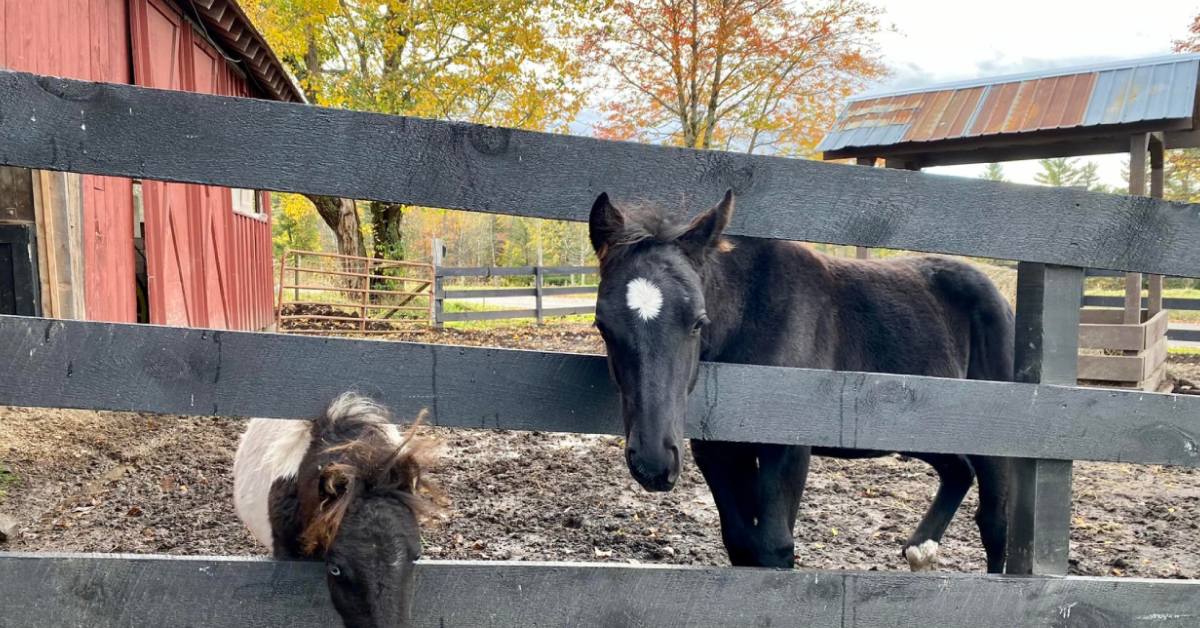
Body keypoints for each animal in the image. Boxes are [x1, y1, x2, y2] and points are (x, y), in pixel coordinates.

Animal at [588, 192, 1012, 573]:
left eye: (697, 322)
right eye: (603, 326)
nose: (653, 462)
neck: (752, 315)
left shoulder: (787, 447)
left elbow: (774, 547)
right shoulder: (720, 451)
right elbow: (742, 544)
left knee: (993, 519)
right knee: (958, 470)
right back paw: (920, 550)